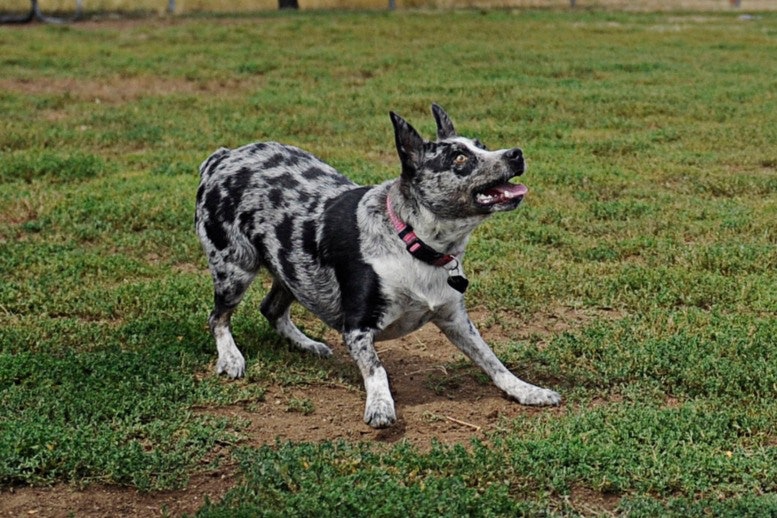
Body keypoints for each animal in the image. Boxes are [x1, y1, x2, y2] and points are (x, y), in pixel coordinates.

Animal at [193, 104, 556, 430]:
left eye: (482, 144)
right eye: (459, 158)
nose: (516, 154)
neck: (413, 242)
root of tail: (223, 157)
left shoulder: (455, 319)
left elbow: (492, 360)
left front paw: (527, 390)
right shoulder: (357, 328)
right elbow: (377, 369)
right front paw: (381, 405)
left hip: (292, 266)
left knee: (271, 308)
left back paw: (308, 344)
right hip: (235, 267)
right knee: (218, 317)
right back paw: (230, 357)